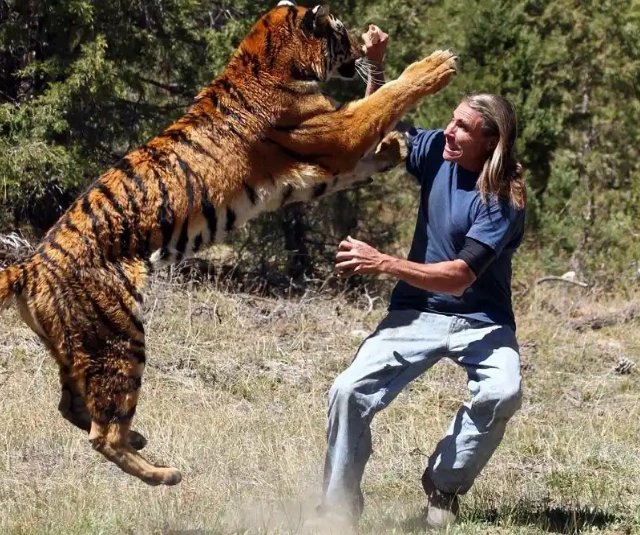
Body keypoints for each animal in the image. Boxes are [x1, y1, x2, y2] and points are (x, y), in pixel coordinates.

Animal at [0, 1, 456, 486]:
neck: (266, 57)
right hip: (119, 337)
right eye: (341, 31)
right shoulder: (337, 133)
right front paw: (436, 65)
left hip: (77, 346)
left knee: (71, 406)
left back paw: (139, 439)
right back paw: (163, 473)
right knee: (102, 433)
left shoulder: (326, 164)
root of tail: (30, 265)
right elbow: (381, 101)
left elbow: (373, 137)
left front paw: (395, 145)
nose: (359, 46)